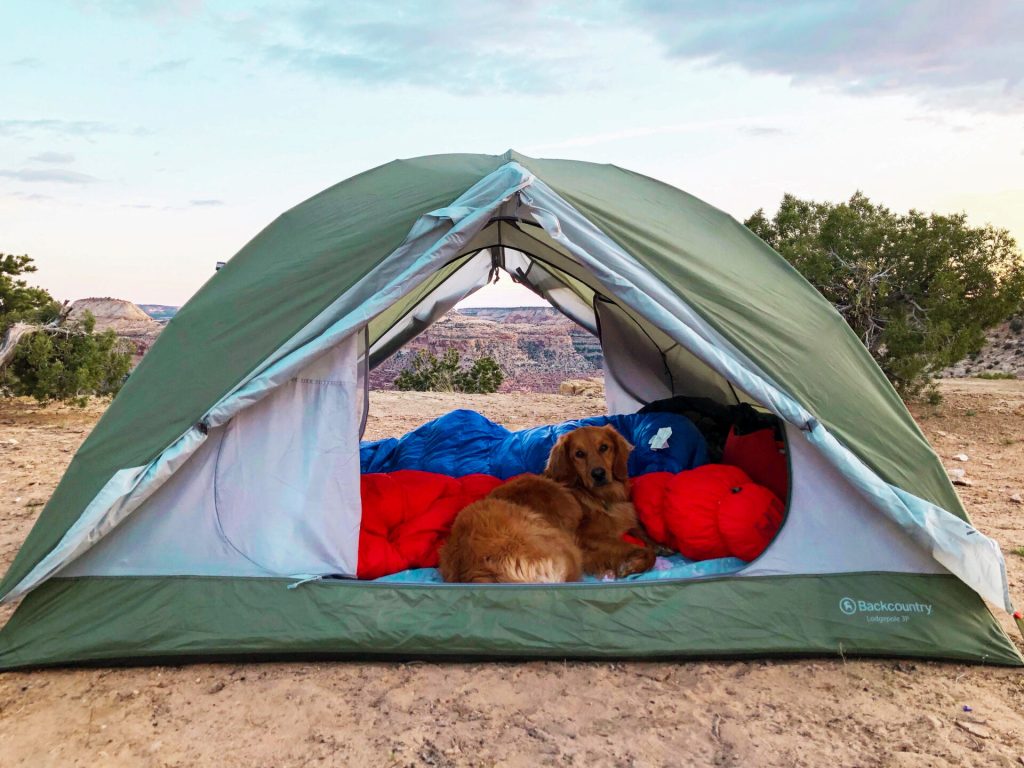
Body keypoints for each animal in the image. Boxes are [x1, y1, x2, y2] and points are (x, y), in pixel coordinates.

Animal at [548, 428, 659, 577]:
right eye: (579, 454)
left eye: (604, 447)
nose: (598, 474)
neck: (603, 496)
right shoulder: (587, 536)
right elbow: (637, 548)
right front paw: (632, 565)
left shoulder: (625, 517)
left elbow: (640, 530)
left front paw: (660, 545)